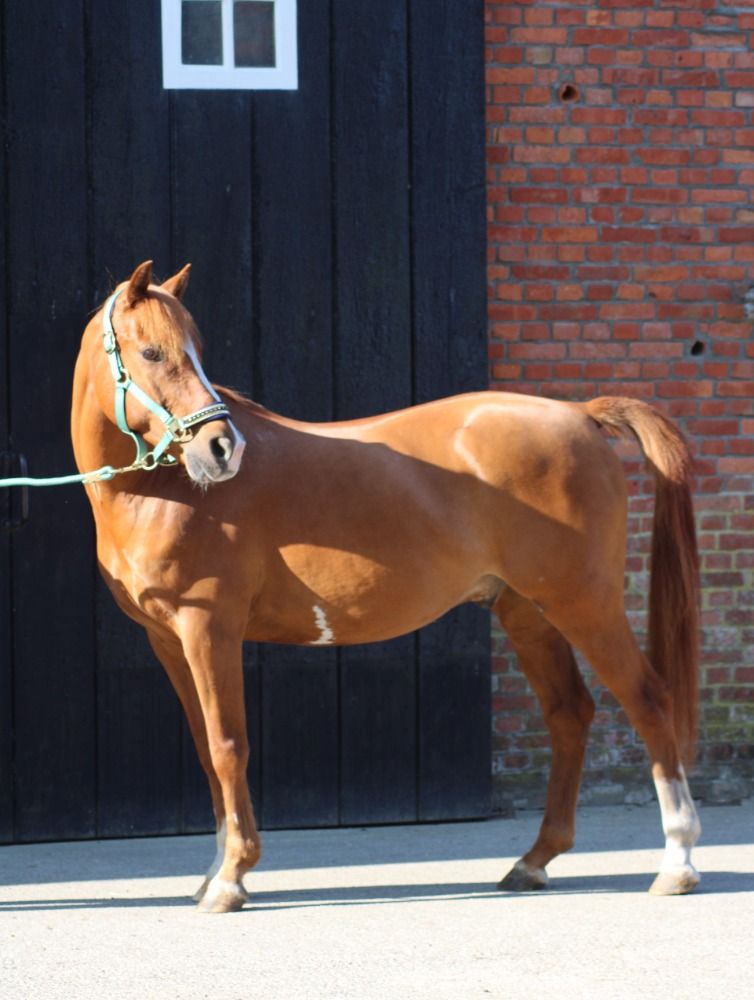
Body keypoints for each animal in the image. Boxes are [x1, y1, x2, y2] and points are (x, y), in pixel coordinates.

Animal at [71, 261, 701, 912]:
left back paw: (677, 862)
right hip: (527, 611)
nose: (223, 449)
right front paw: (217, 871)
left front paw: (231, 877)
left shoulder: (210, 629)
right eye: (151, 351)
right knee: (569, 714)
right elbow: (204, 747)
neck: (162, 493)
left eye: (196, 349)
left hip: (584, 604)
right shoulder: (170, 641)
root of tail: (582, 413)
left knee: (650, 701)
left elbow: (227, 745)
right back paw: (534, 861)